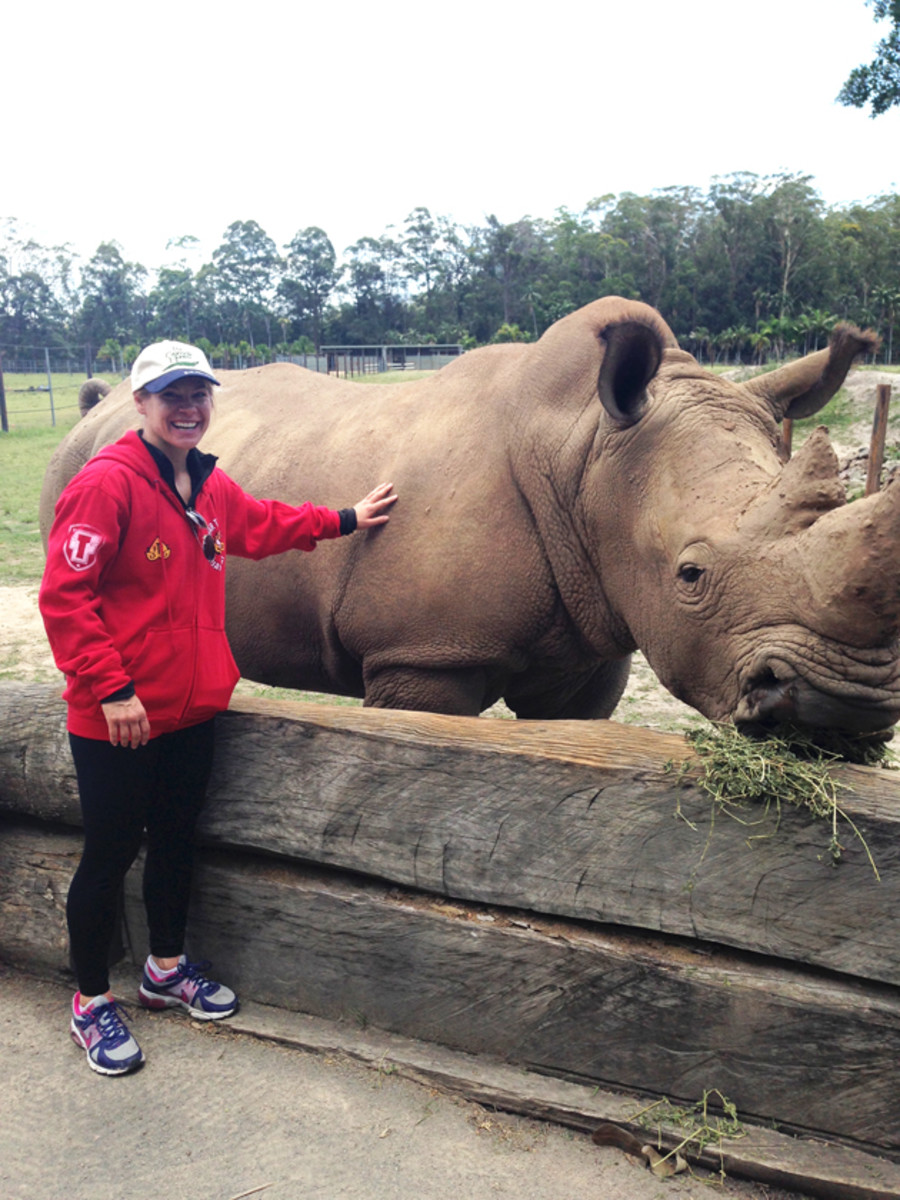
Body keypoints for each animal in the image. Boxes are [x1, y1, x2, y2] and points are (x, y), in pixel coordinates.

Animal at [40, 298, 900, 736]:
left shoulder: (593, 640)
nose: (845, 711)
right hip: (71, 472)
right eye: (691, 574)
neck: (586, 450)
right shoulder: (423, 653)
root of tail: (101, 408)